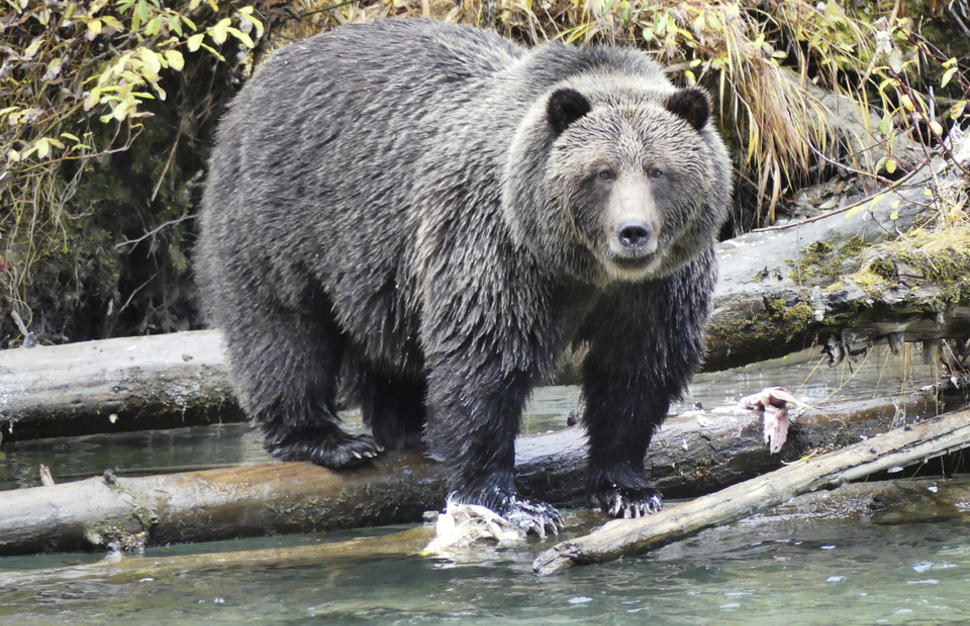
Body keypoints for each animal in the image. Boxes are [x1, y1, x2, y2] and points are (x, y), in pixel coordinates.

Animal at [196, 19, 731, 535]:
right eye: (602, 172)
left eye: (658, 170)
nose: (633, 232)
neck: (581, 268)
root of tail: (259, 79)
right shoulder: (498, 248)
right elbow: (484, 361)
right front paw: (513, 502)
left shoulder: (658, 287)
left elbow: (638, 368)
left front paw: (629, 489)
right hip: (282, 221)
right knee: (284, 332)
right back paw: (329, 439)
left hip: (378, 268)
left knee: (385, 350)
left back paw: (408, 428)